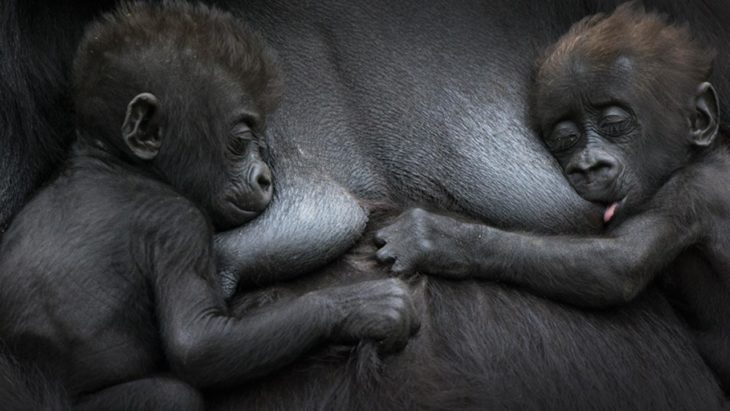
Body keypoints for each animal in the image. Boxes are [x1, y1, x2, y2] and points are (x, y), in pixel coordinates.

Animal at [0, 1, 416, 410]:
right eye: (241, 142)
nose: (264, 177)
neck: (111, 160)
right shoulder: (179, 222)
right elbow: (199, 345)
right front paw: (362, 309)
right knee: (171, 395)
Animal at [376, 4, 730, 396]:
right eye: (565, 139)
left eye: (614, 124)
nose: (589, 166)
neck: (697, 155)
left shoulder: (689, 191)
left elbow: (618, 264)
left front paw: (436, 238)